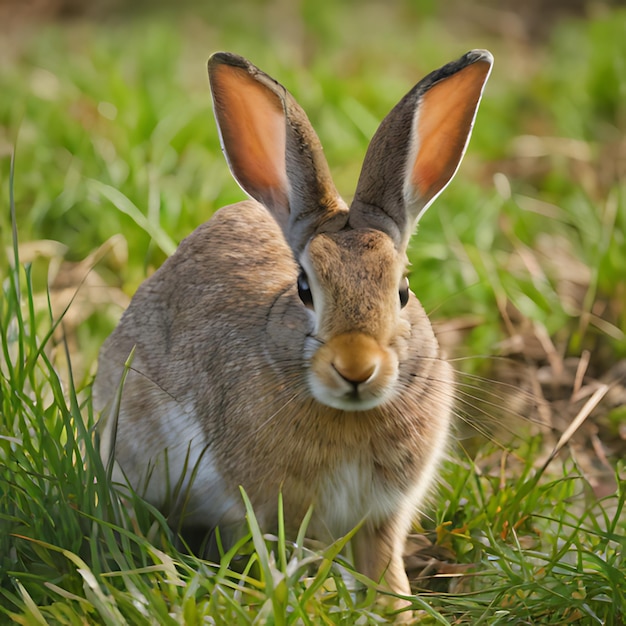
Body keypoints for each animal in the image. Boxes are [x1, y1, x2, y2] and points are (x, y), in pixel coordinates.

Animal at [94, 50, 492, 604]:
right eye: (304, 287)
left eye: (403, 290)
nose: (356, 368)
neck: (349, 415)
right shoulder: (274, 507)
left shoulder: (382, 514)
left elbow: (383, 568)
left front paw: (393, 610)